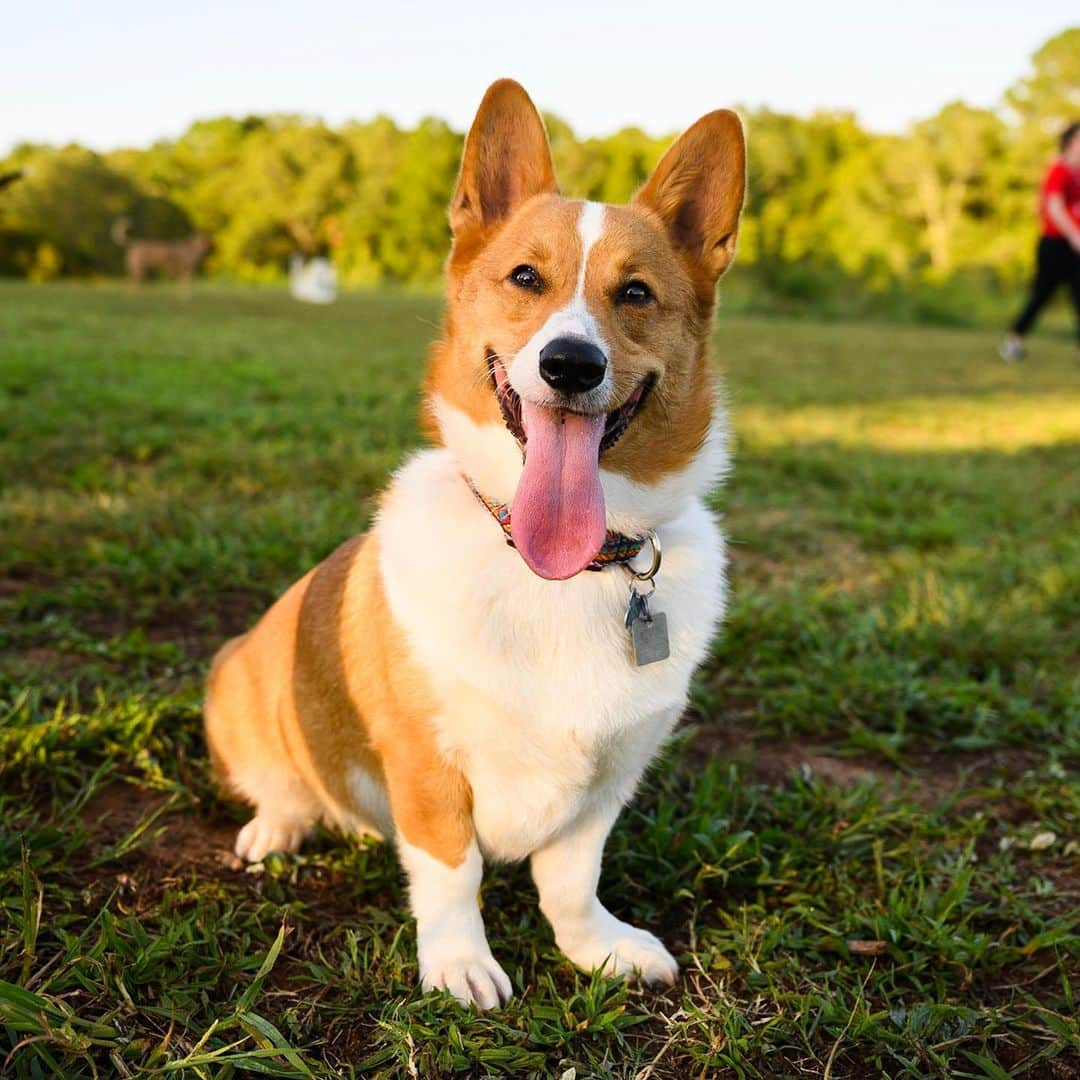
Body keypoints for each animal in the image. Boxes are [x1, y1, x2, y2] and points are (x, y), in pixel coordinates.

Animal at [203, 79, 743, 1006]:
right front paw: (460, 966)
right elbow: (451, 874)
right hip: (244, 685)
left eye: (636, 294)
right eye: (525, 276)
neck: (559, 569)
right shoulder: (428, 766)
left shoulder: (606, 784)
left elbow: (573, 882)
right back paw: (276, 829)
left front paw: (599, 948)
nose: (570, 365)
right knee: (284, 787)